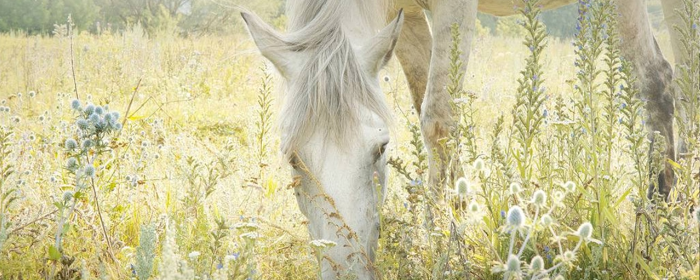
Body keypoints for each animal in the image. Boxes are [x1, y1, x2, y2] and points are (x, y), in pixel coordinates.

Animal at [242, 0, 684, 278]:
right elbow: (425, 102)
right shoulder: (404, 17)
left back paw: (658, 227)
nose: (346, 272)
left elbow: (438, 119)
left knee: (656, 81)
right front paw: (452, 223)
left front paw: (442, 244)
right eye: (293, 159)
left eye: (381, 148)